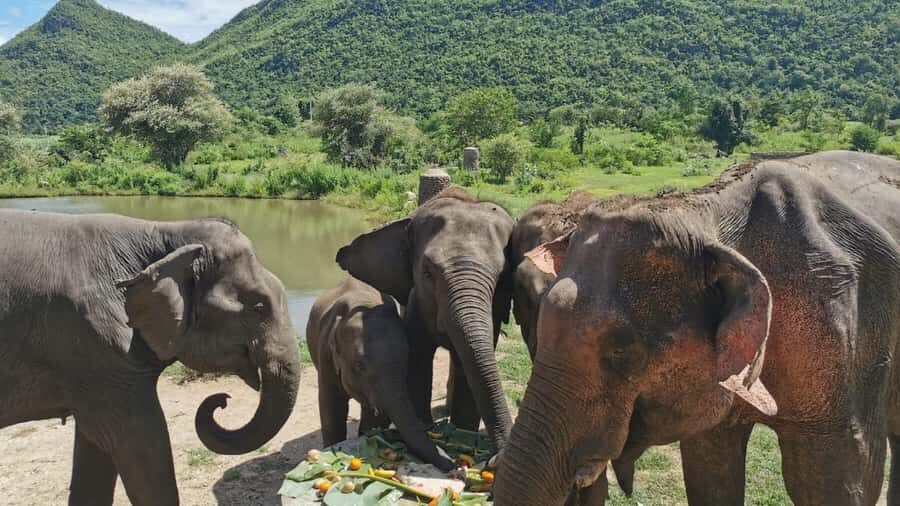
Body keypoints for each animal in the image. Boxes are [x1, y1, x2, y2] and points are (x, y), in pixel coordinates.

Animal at [0, 212, 301, 506]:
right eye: (259, 307)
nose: (222, 399)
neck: (163, 233)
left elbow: (96, 446)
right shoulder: (95, 346)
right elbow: (141, 440)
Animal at [306, 276, 455, 471]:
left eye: (407, 358)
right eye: (359, 365)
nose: (454, 464)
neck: (362, 304)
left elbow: (373, 416)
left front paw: (369, 435)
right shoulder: (325, 355)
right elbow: (331, 407)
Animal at [337, 186, 515, 453]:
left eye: (502, 275)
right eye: (427, 273)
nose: (498, 453)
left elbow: (470, 363)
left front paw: (462, 432)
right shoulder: (415, 303)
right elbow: (419, 357)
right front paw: (427, 427)